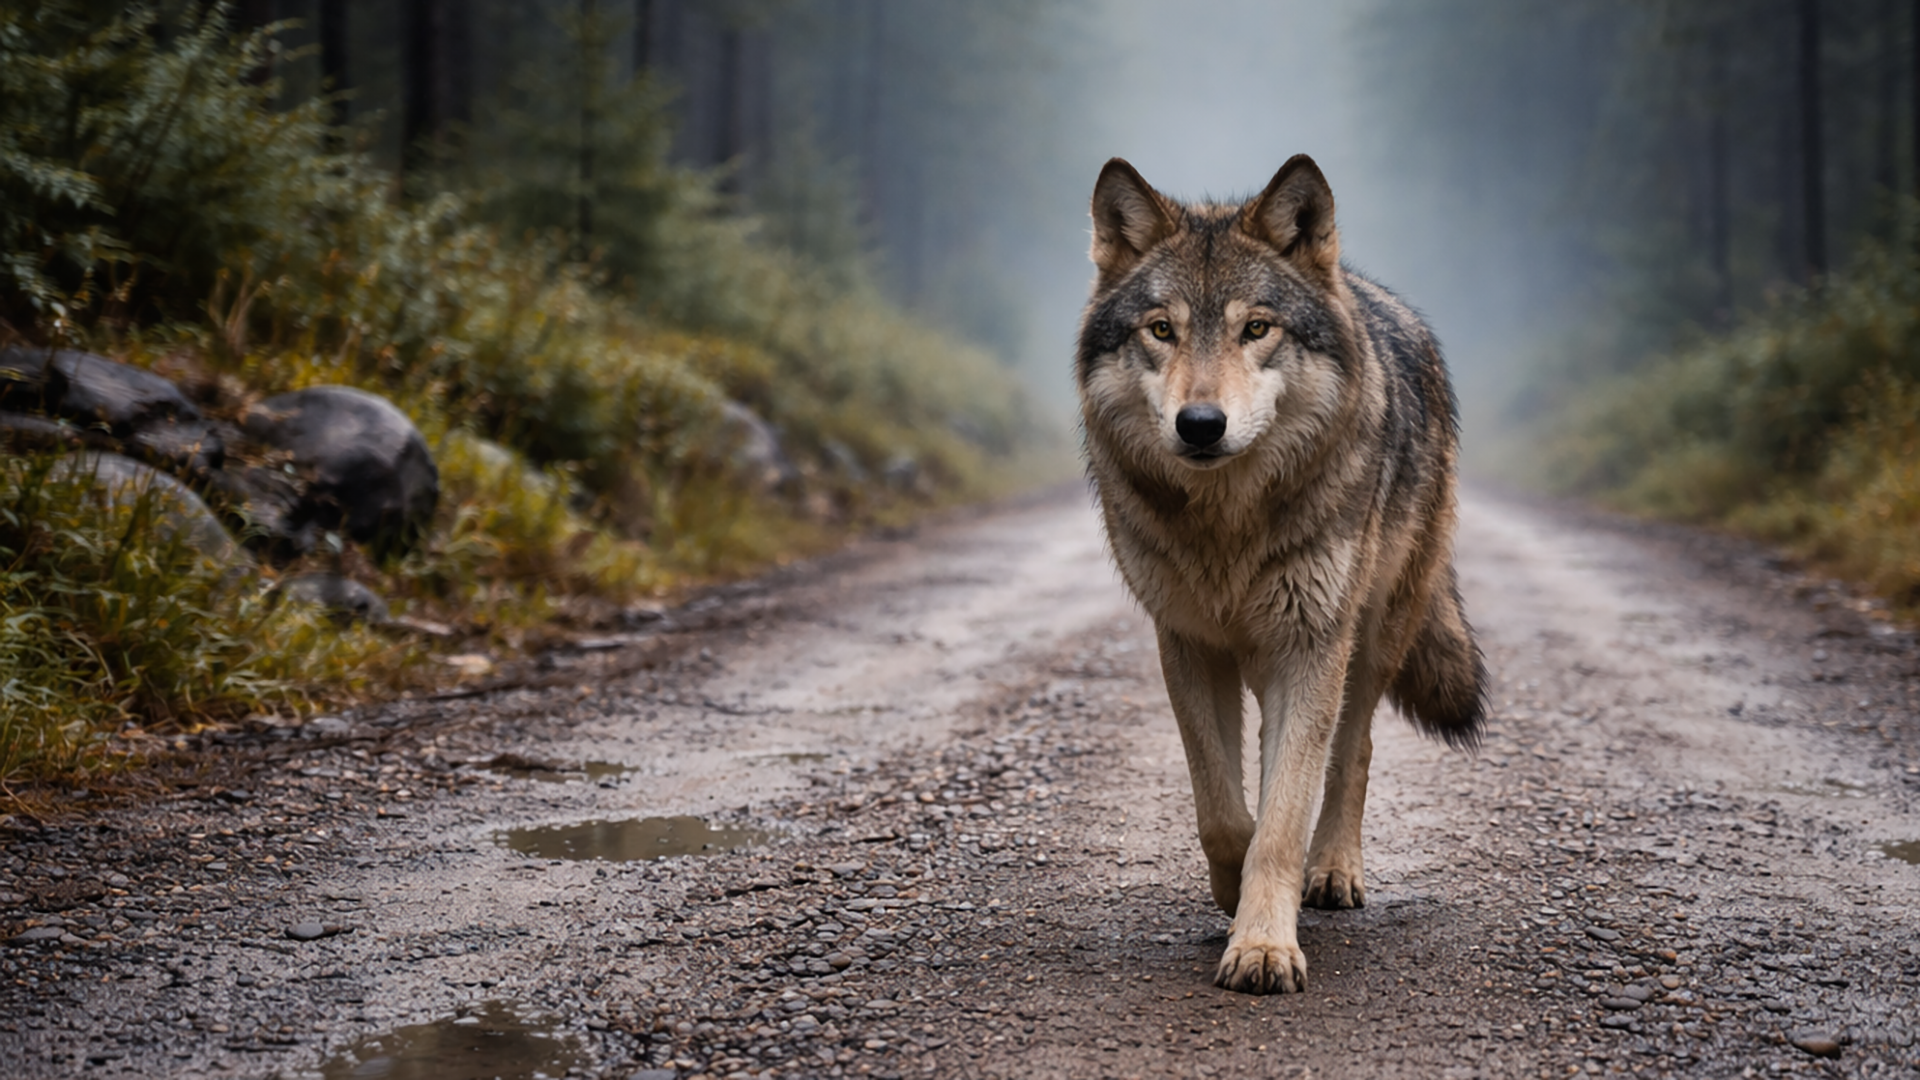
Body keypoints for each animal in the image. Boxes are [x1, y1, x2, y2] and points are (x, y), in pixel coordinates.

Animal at [1075, 155, 1487, 994]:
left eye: (1255, 328)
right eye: (1161, 330)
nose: (1201, 426)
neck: (1227, 527)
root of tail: (1375, 297)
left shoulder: (1309, 647)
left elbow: (1284, 814)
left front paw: (1264, 945)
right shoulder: (1187, 644)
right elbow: (1226, 813)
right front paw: (1236, 898)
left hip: (1370, 637)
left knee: (1353, 752)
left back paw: (1331, 872)